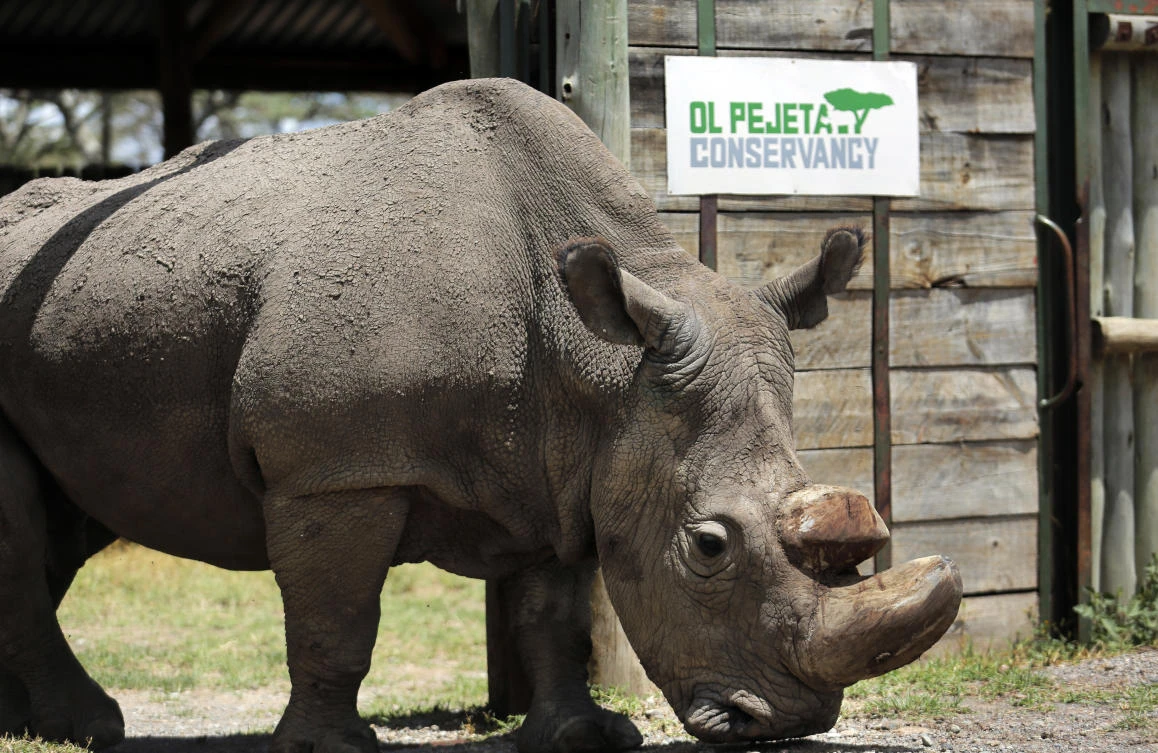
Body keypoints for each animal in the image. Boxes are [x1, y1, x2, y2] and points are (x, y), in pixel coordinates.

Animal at [0, 78, 961, 753]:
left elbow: (553, 611)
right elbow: (337, 618)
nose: (787, 722)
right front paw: (331, 746)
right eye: (708, 547)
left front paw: (578, 734)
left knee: (58, 524)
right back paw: (89, 728)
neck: (598, 362)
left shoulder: (568, 461)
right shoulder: (336, 467)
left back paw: (38, 723)